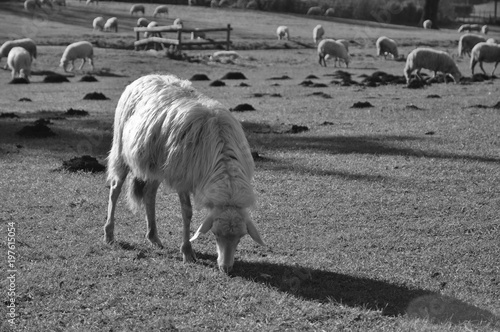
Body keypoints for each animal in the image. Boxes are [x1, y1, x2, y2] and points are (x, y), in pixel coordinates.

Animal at [105, 74, 266, 274]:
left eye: (241, 237)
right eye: (215, 233)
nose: (226, 268)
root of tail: (146, 76)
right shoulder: (183, 177)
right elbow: (187, 212)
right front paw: (187, 252)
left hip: (157, 165)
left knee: (149, 193)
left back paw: (153, 237)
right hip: (121, 149)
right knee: (115, 189)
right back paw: (109, 234)